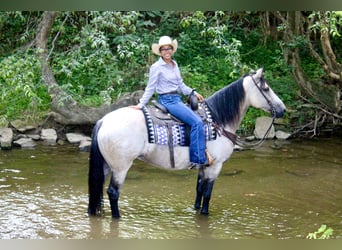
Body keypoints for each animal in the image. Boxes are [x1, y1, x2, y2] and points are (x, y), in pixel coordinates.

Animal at [87, 67, 286, 218]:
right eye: (266, 89)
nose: (283, 109)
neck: (218, 121)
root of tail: (103, 121)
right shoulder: (216, 166)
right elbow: (208, 193)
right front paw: (205, 214)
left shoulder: (203, 165)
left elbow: (199, 190)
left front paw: (196, 210)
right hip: (121, 167)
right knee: (113, 192)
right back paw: (117, 217)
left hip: (106, 165)